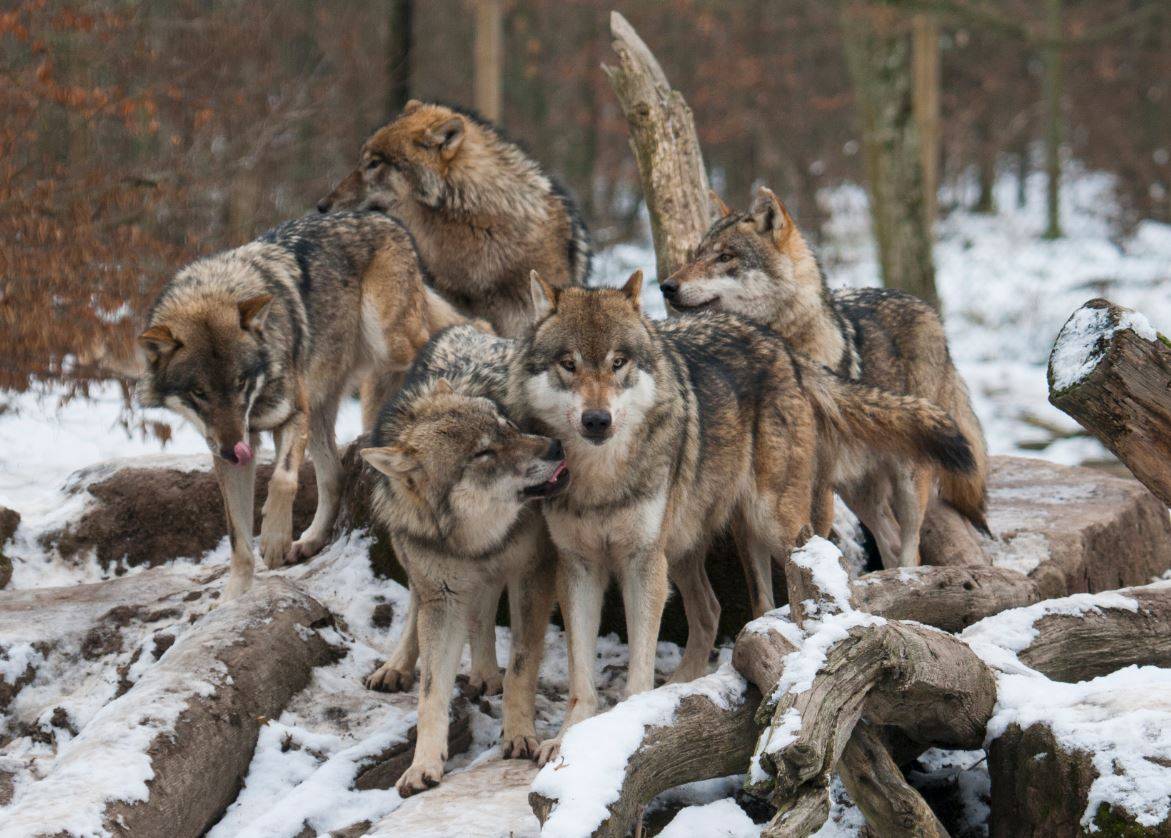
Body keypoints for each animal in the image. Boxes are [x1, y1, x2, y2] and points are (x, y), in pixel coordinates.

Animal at [137, 213, 466, 599]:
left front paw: (275, 542)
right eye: (199, 393)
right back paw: (309, 541)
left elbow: (282, 479)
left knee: (445, 332)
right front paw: (234, 598)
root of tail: (384, 217)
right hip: (324, 403)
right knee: (335, 477)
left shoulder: (293, 414)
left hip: (388, 343)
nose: (234, 451)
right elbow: (238, 540)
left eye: (240, 382)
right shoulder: (230, 445)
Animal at [512, 273, 978, 758]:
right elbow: (581, 676)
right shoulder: (579, 566)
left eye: (618, 362)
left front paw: (627, 722)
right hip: (703, 543)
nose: (597, 420)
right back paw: (680, 687)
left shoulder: (643, 563)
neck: (601, 478)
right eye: (569, 364)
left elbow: (639, 664)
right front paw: (567, 738)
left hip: (771, 524)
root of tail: (782, 348)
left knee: (831, 570)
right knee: (718, 610)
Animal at [665, 188, 993, 568]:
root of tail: (927, 309)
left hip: (908, 479)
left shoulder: (818, 485)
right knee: (890, 540)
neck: (787, 338)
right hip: (858, 491)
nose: (666, 286)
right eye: (696, 255)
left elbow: (811, 541)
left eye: (725, 257)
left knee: (910, 544)